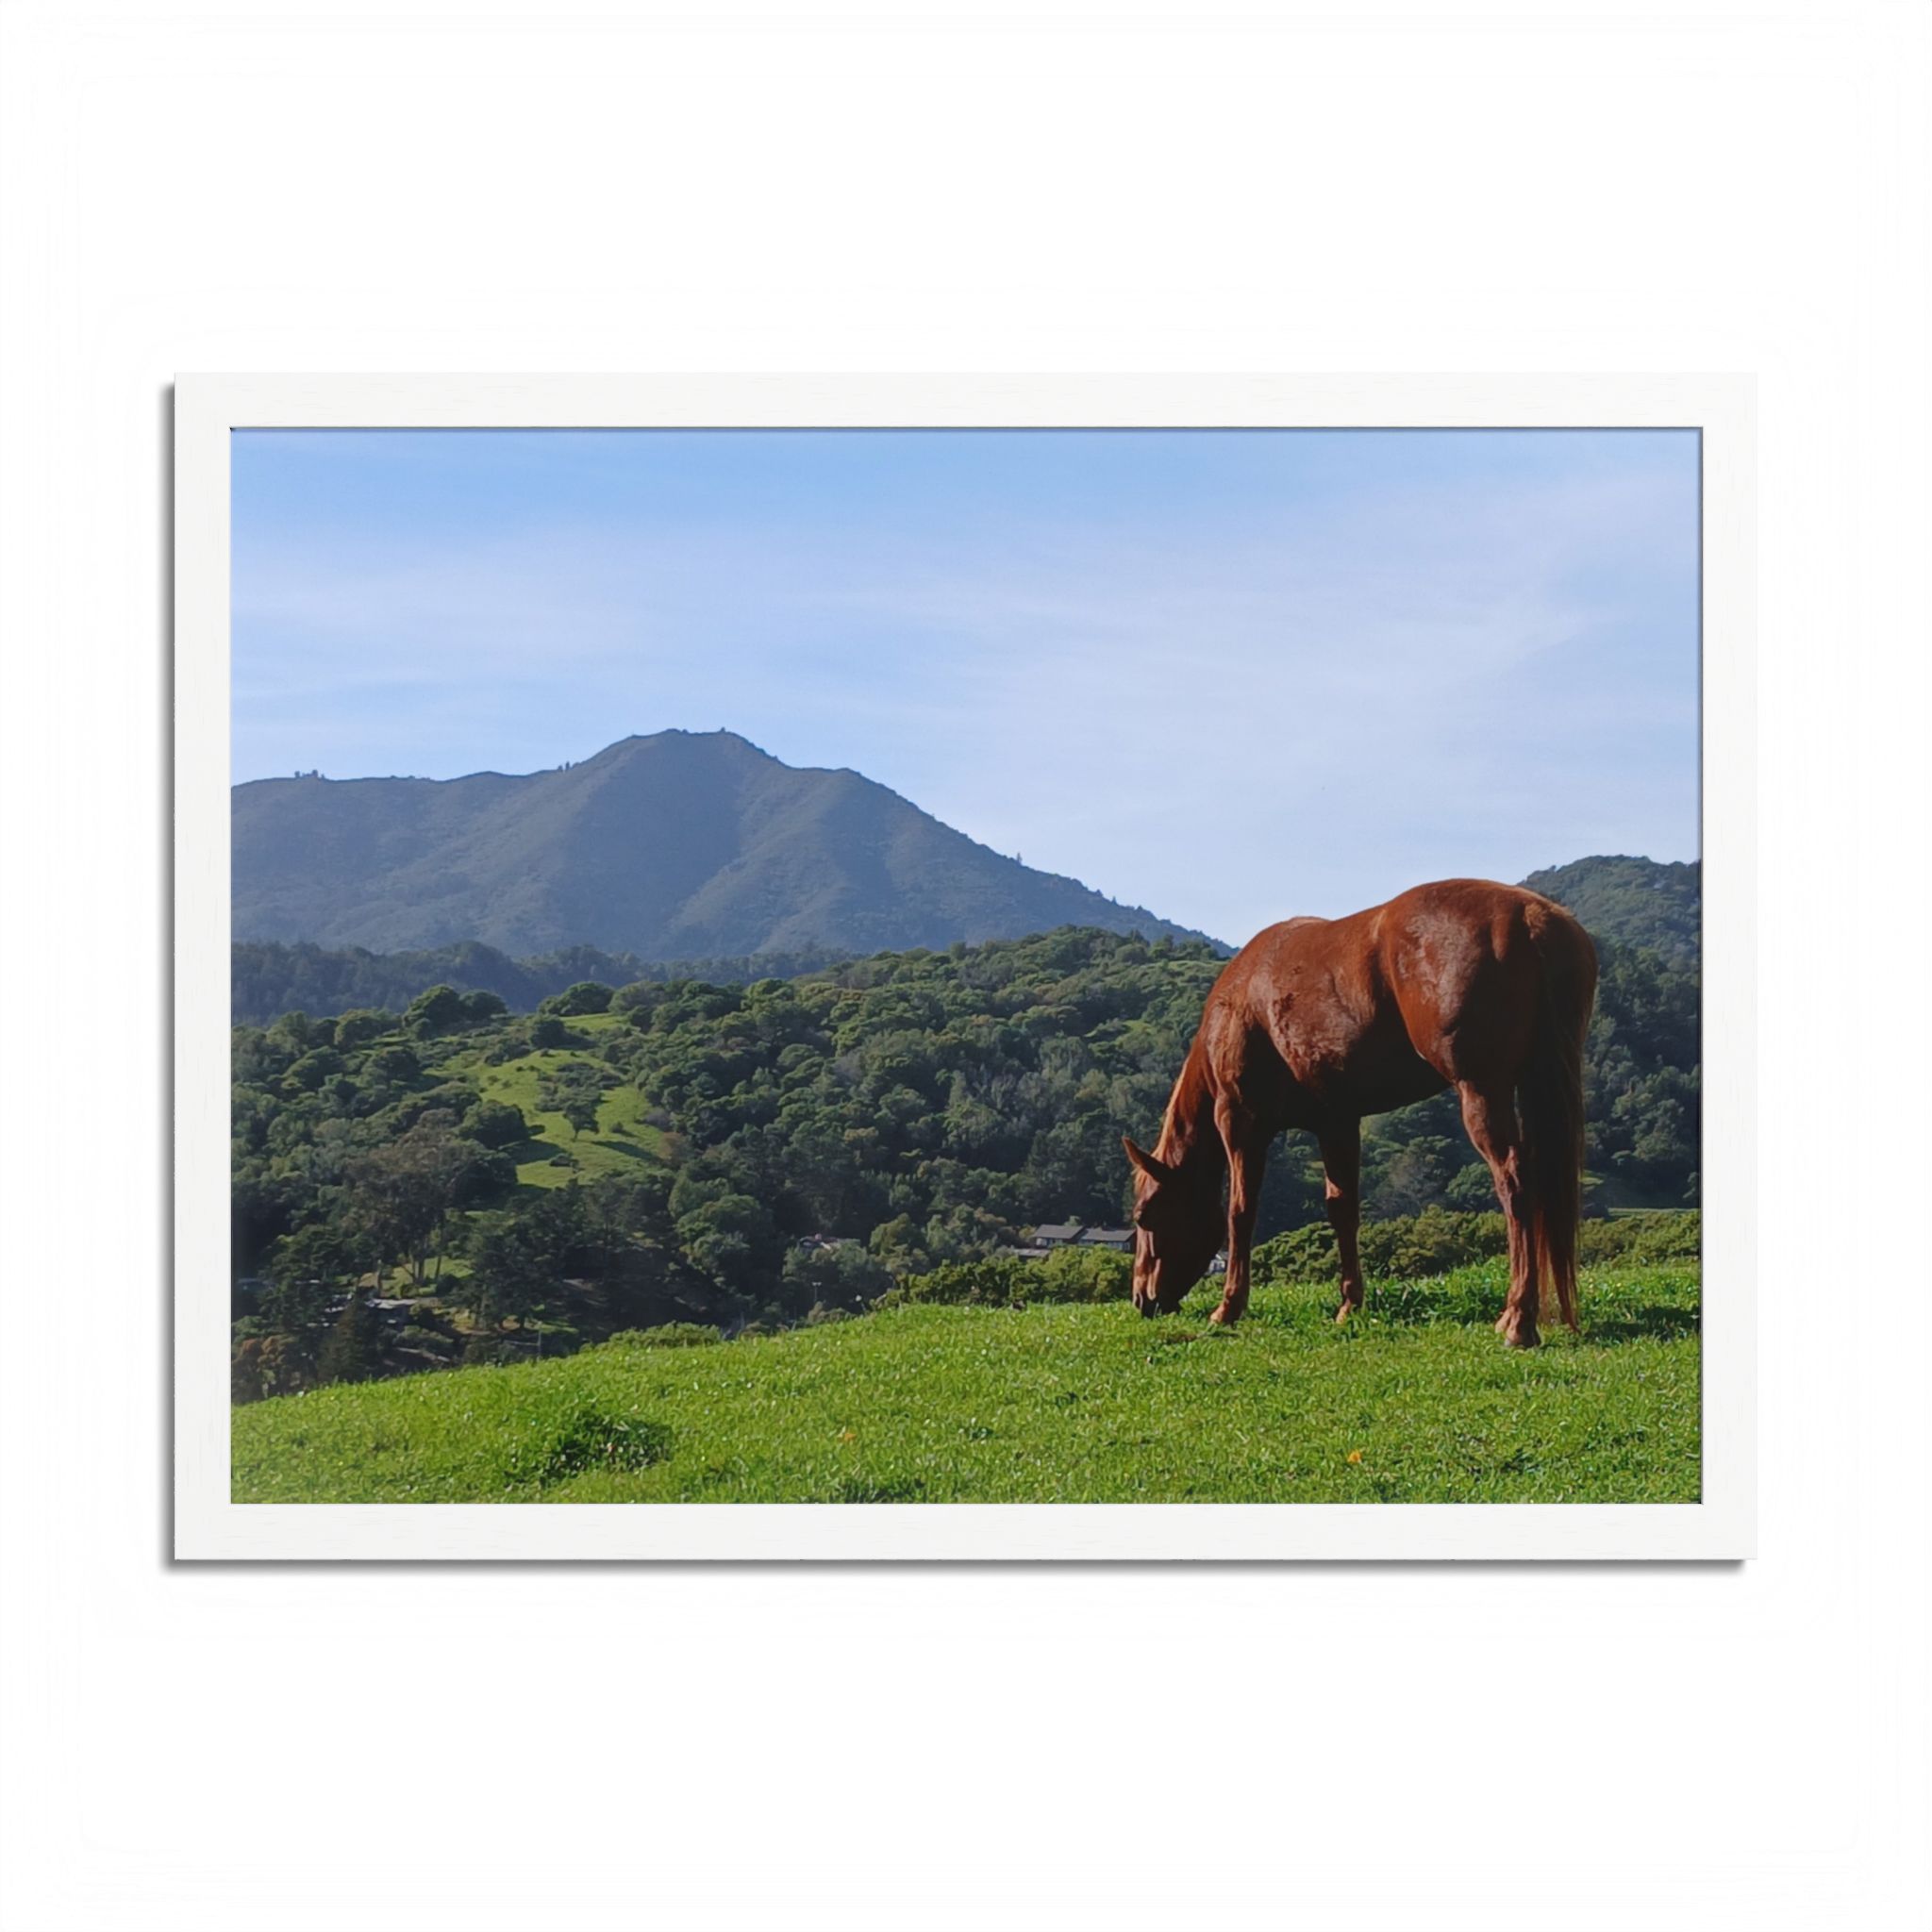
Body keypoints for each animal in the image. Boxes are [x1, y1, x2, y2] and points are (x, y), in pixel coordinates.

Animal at [1123, 879, 1598, 1348]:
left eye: (1144, 1216)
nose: (1142, 1300)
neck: (1240, 1001)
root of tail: (1530, 917)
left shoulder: (1241, 1120)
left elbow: (1240, 1212)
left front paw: (1228, 1307)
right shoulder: (1336, 1121)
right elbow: (1343, 1209)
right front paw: (1350, 1303)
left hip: (1481, 1090)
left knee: (1514, 1181)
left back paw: (1518, 1319)